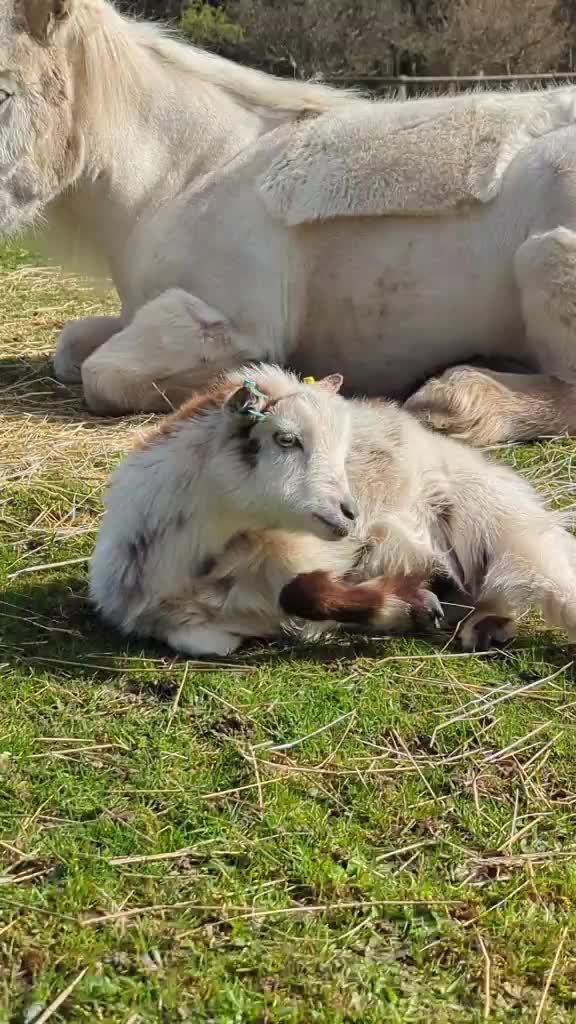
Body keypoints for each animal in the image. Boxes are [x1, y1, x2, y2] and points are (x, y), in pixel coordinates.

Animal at [3, 0, 576, 444]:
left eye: (4, 92)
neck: (189, 173)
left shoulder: (233, 325)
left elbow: (103, 374)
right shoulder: (138, 313)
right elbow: (71, 348)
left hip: (545, 256)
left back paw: (455, 400)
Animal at [89, 366, 576, 658]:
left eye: (344, 448)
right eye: (286, 439)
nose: (350, 513)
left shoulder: (321, 553)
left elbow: (302, 591)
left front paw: (404, 602)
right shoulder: (194, 630)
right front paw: (410, 605)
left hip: (491, 514)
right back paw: (488, 623)